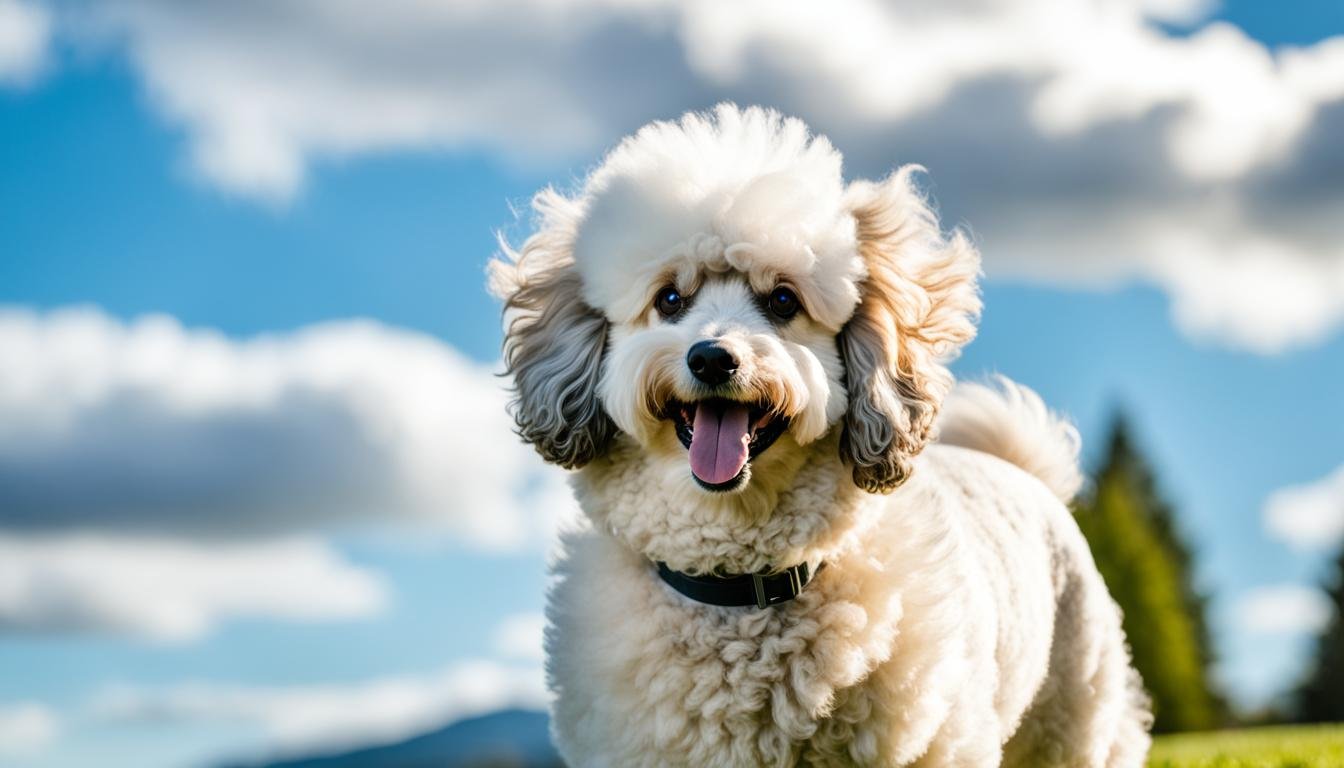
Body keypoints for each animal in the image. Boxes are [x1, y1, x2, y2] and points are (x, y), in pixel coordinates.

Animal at [489, 103, 1150, 768]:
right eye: (670, 298)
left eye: (783, 300)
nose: (711, 359)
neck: (739, 584)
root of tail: (1021, 468)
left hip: (1075, 717)